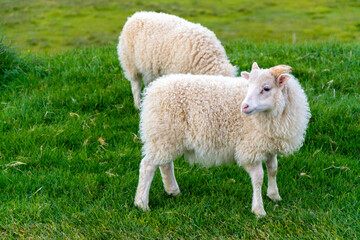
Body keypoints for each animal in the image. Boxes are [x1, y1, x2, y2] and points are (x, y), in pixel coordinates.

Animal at [134, 62, 310, 217]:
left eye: (266, 88)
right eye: (248, 86)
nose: (244, 107)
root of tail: (153, 89)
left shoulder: (268, 144)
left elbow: (273, 169)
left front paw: (274, 195)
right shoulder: (250, 148)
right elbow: (258, 178)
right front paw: (259, 210)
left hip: (167, 138)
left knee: (165, 164)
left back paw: (173, 191)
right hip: (162, 134)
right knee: (147, 166)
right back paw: (142, 203)